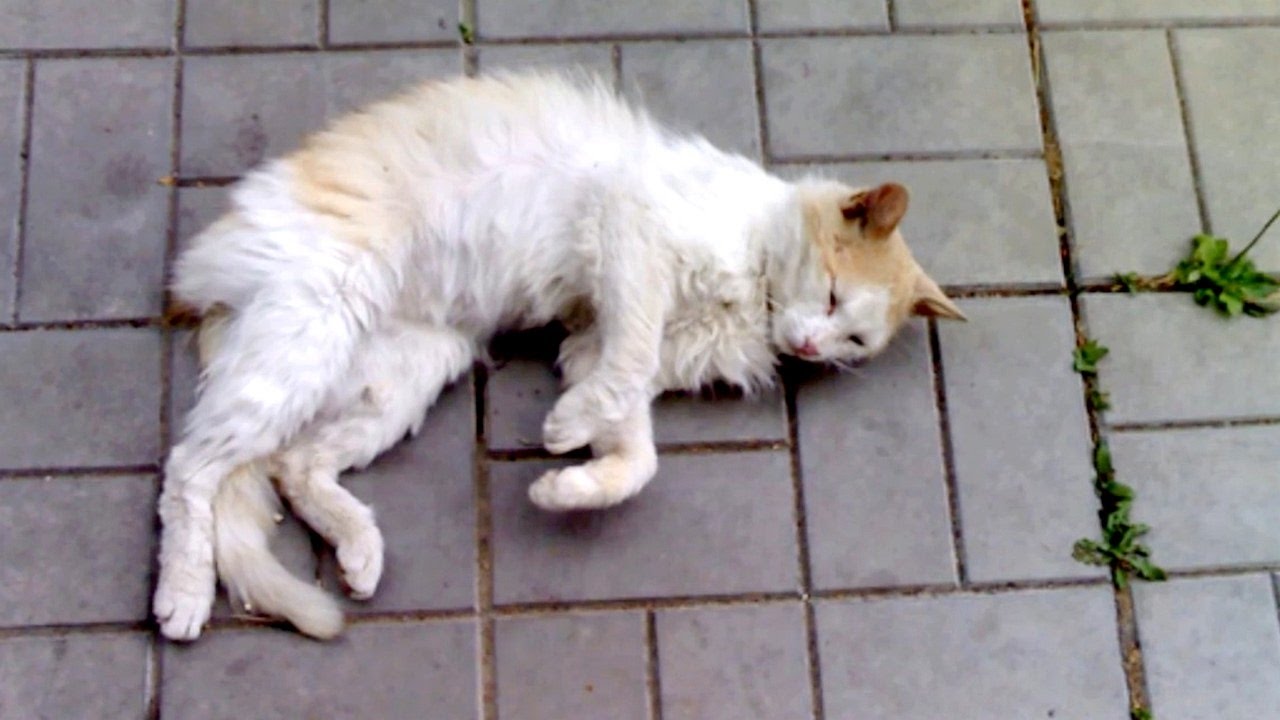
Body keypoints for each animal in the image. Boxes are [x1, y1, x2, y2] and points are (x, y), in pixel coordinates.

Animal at [154, 70, 966, 642]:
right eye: (830, 296)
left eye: (854, 340)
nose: (807, 346)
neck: (754, 296)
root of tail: (210, 283)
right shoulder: (630, 237)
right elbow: (629, 375)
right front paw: (568, 431)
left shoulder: (589, 341)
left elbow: (636, 452)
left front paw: (568, 483)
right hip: (308, 339)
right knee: (189, 469)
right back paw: (183, 596)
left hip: (401, 376)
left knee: (294, 467)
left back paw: (359, 548)